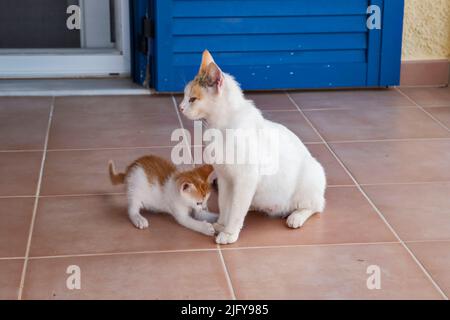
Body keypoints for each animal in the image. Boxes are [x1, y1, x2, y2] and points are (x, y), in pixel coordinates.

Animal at [179, 50, 326, 245]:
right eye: (184, 96)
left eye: (193, 99)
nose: (180, 107)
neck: (219, 128)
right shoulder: (225, 178)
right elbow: (225, 204)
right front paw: (221, 224)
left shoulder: (245, 178)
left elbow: (236, 208)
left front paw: (229, 232)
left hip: (312, 174)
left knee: (316, 205)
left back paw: (296, 217)